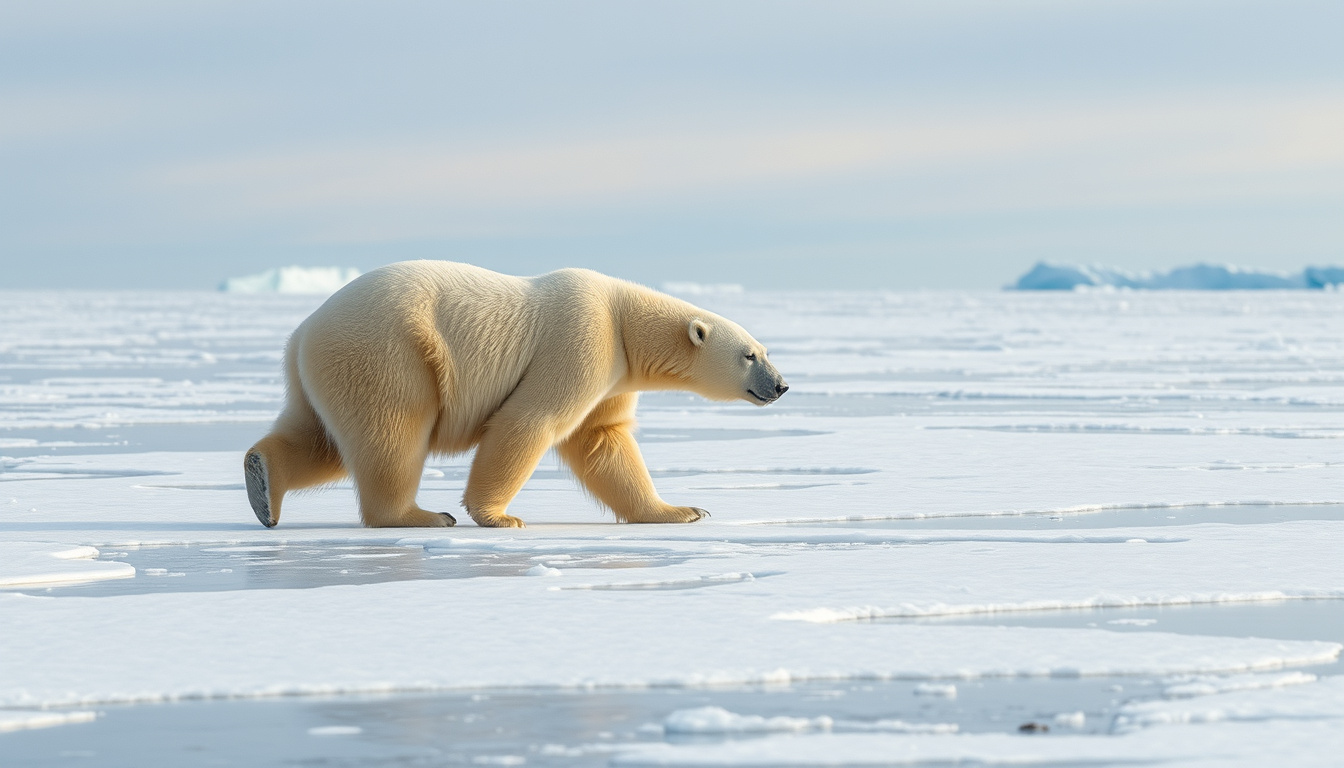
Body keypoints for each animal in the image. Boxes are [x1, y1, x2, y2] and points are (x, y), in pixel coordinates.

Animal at [243, 260, 788, 528]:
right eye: (750, 355)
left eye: (764, 349)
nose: (781, 385)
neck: (624, 318)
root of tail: (301, 333)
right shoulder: (584, 338)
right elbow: (533, 420)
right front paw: (498, 517)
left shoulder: (614, 375)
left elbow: (603, 438)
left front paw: (681, 510)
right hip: (388, 353)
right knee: (393, 431)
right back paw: (422, 516)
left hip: (329, 371)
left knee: (321, 439)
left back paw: (261, 481)